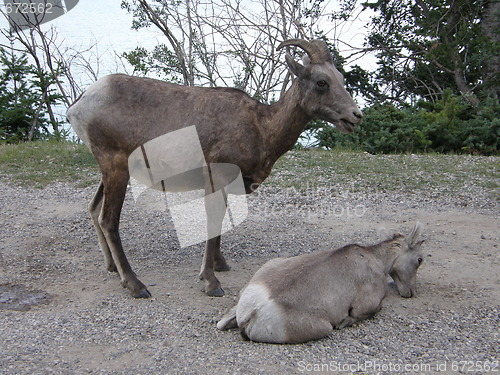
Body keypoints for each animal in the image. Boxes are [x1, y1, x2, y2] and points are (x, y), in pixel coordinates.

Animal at [67, 39, 364, 300]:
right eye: (321, 82)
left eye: (340, 78)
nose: (355, 116)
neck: (262, 127)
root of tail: (79, 105)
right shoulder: (216, 179)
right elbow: (213, 223)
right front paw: (211, 282)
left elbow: (221, 224)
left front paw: (221, 265)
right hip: (115, 167)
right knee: (108, 220)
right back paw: (135, 285)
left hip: (110, 172)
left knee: (94, 209)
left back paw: (112, 268)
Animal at [217, 223, 424, 344]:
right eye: (420, 259)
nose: (411, 292)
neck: (376, 259)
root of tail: (252, 312)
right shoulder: (367, 304)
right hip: (325, 328)